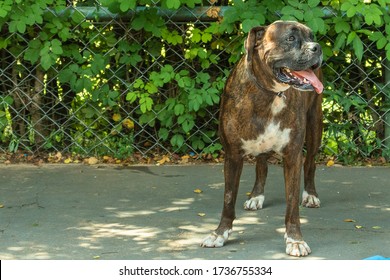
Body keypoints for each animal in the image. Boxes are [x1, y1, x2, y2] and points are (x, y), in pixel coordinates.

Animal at [201, 19, 322, 258]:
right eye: (290, 38)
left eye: (311, 36)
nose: (317, 47)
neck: (270, 93)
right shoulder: (232, 156)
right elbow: (228, 198)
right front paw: (220, 234)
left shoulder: (292, 156)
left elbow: (292, 204)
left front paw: (295, 240)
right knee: (261, 165)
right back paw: (256, 195)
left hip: (315, 127)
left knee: (311, 163)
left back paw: (310, 194)